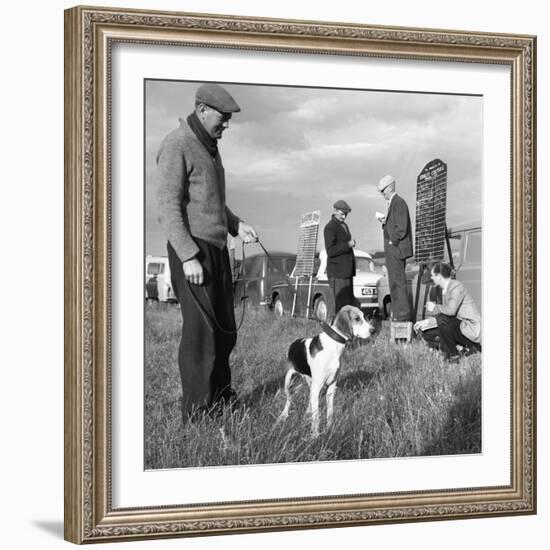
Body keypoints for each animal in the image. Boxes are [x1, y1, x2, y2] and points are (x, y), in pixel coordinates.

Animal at [278, 306, 378, 440]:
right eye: (357, 319)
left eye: (364, 317)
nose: (373, 330)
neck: (334, 346)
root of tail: (294, 342)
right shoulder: (317, 387)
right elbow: (317, 417)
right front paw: (315, 435)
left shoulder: (331, 386)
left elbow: (329, 412)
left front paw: (329, 428)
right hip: (289, 381)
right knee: (289, 400)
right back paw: (283, 416)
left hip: (311, 383)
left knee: (309, 400)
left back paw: (307, 413)